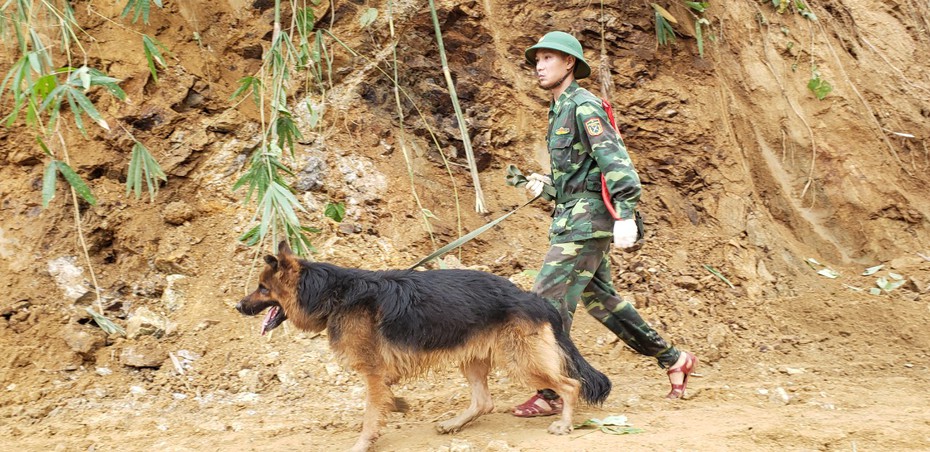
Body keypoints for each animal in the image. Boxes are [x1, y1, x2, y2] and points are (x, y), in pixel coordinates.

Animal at [236, 244, 608, 452]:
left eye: (262, 288)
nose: (238, 306)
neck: (332, 294)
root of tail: (534, 299)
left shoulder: (373, 373)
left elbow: (370, 415)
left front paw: (362, 444)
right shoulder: (381, 376)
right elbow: (382, 402)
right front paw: (398, 405)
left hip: (521, 360)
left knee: (570, 385)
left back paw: (563, 424)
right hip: (472, 358)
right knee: (484, 402)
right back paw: (454, 424)